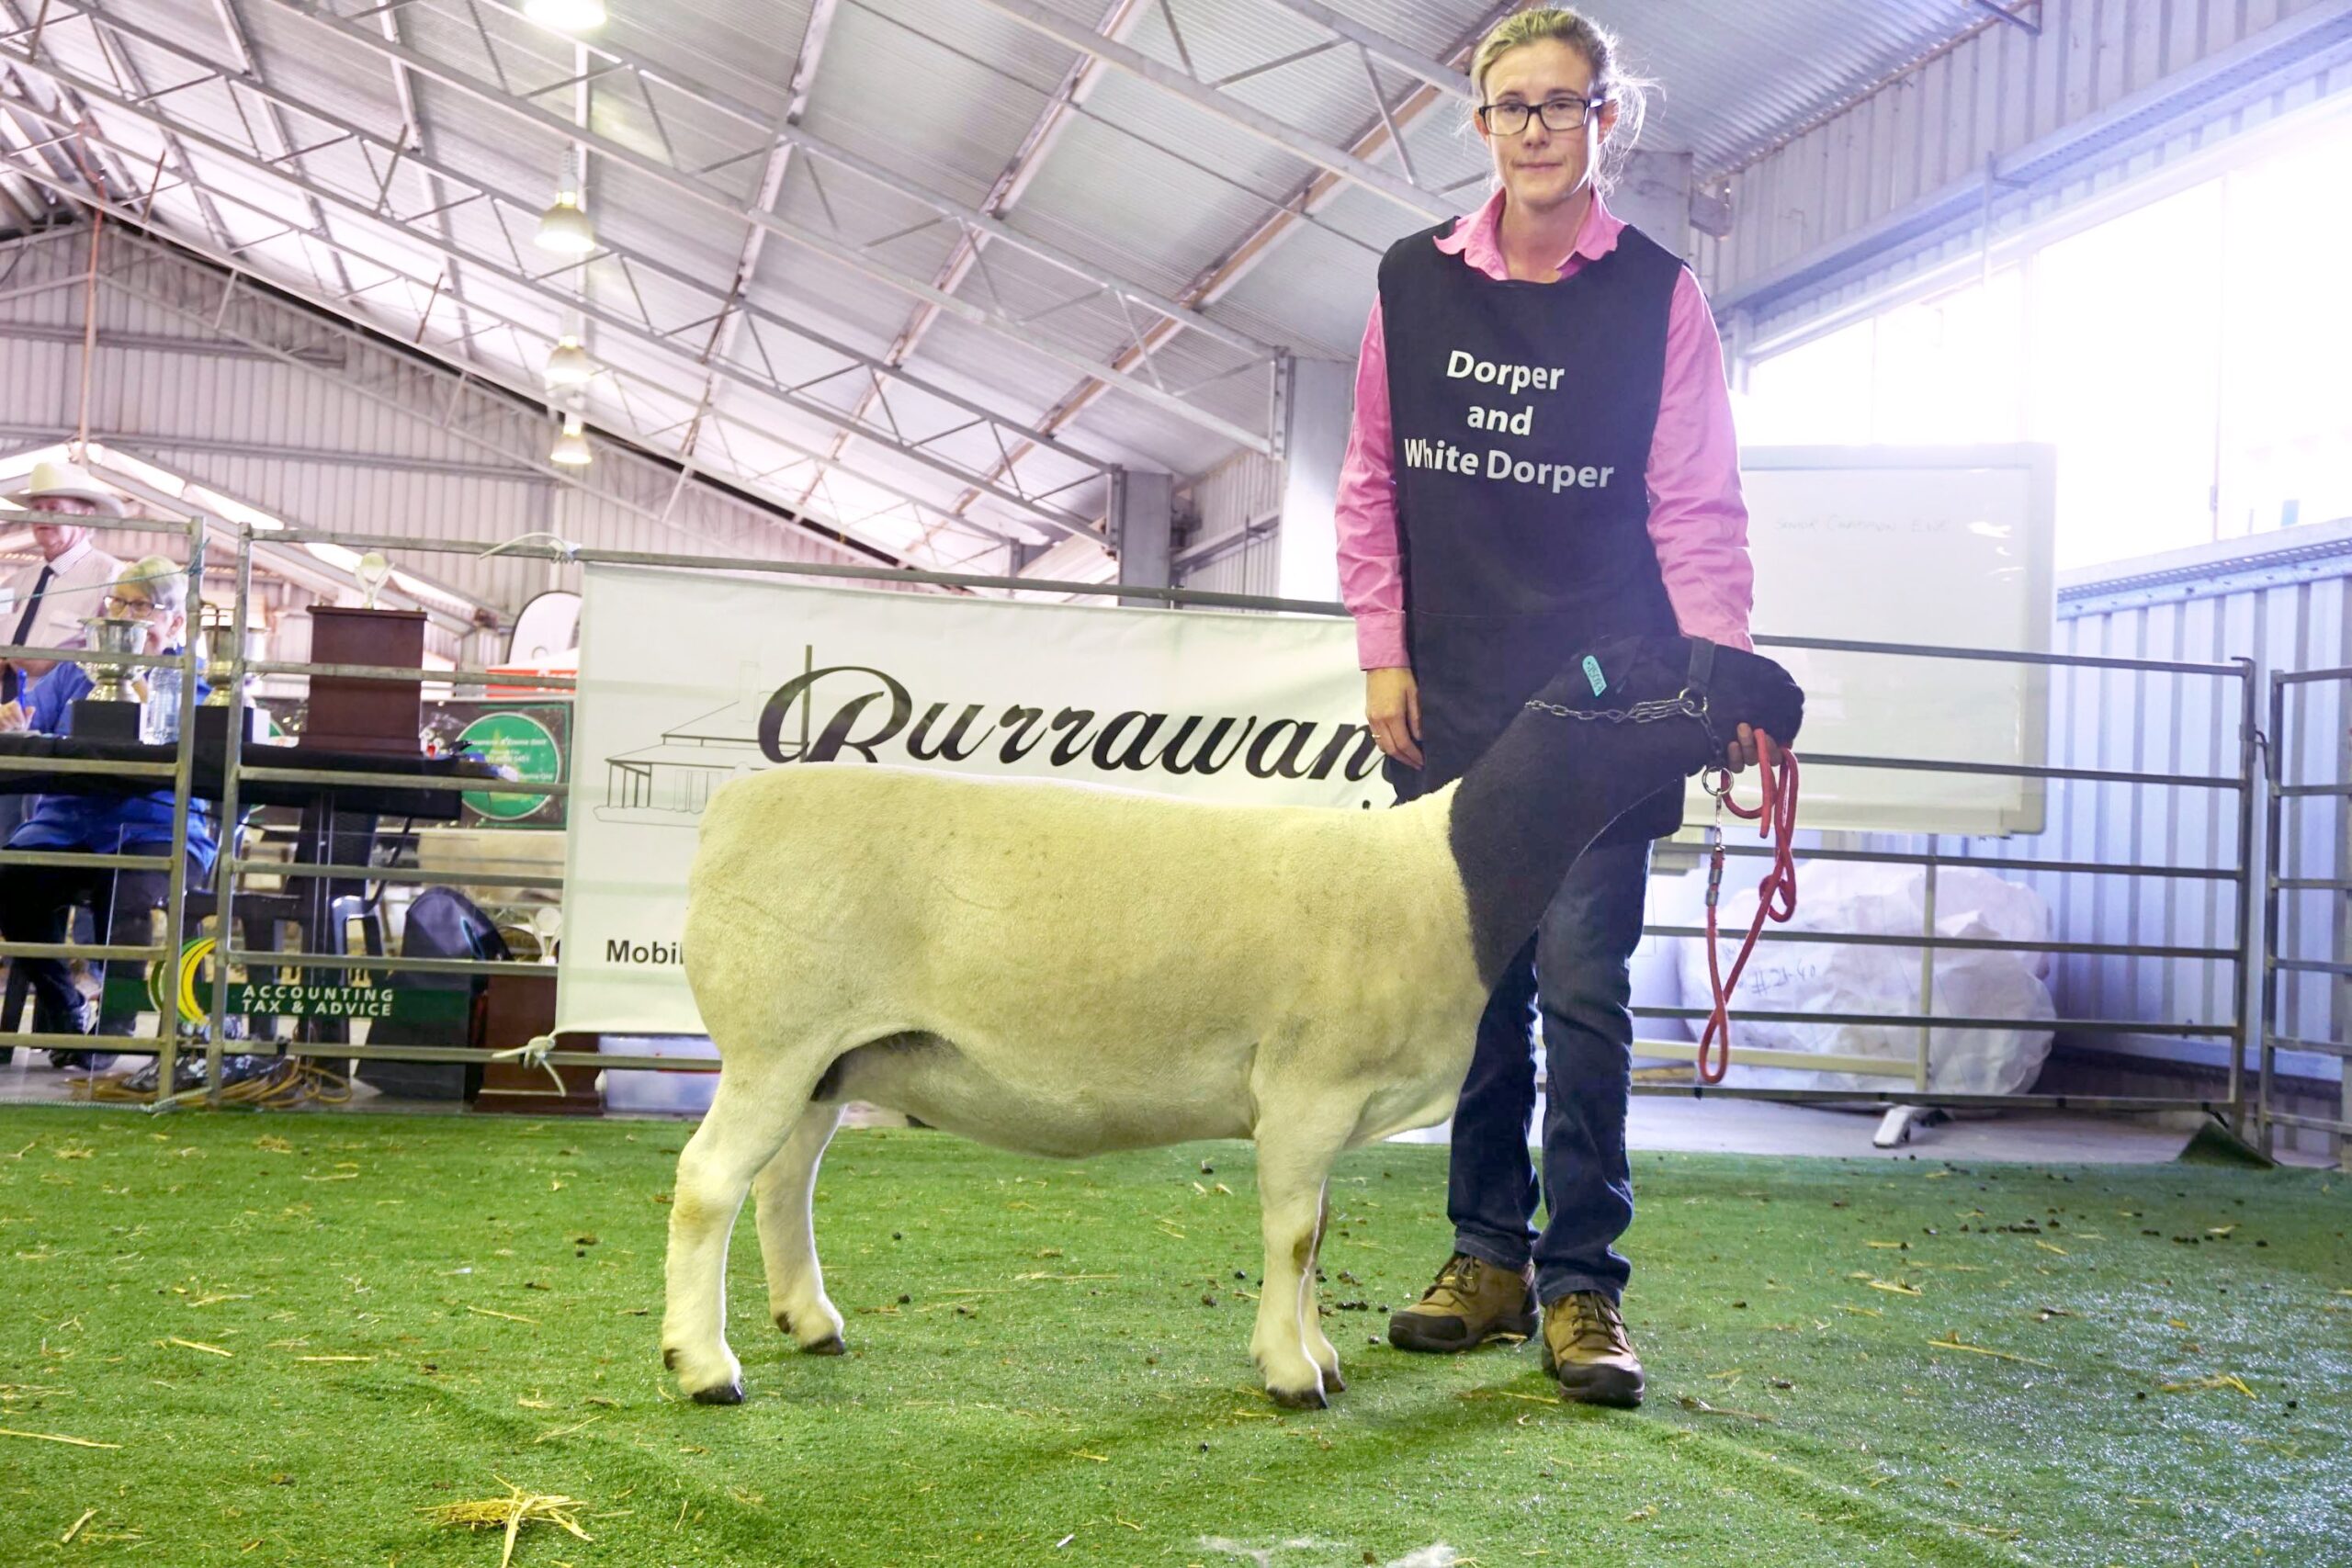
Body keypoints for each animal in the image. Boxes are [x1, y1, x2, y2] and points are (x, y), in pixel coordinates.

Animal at [662, 639, 1796, 1410]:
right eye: (1677, 653)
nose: (1786, 690)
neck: (1449, 874)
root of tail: (726, 814)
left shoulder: (1318, 1110)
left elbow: (1318, 1231)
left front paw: (1316, 1352)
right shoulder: (1305, 1090)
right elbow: (1293, 1237)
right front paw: (1294, 1374)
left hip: (828, 1056)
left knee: (782, 1184)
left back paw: (808, 1323)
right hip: (775, 1042)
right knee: (709, 1184)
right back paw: (703, 1365)